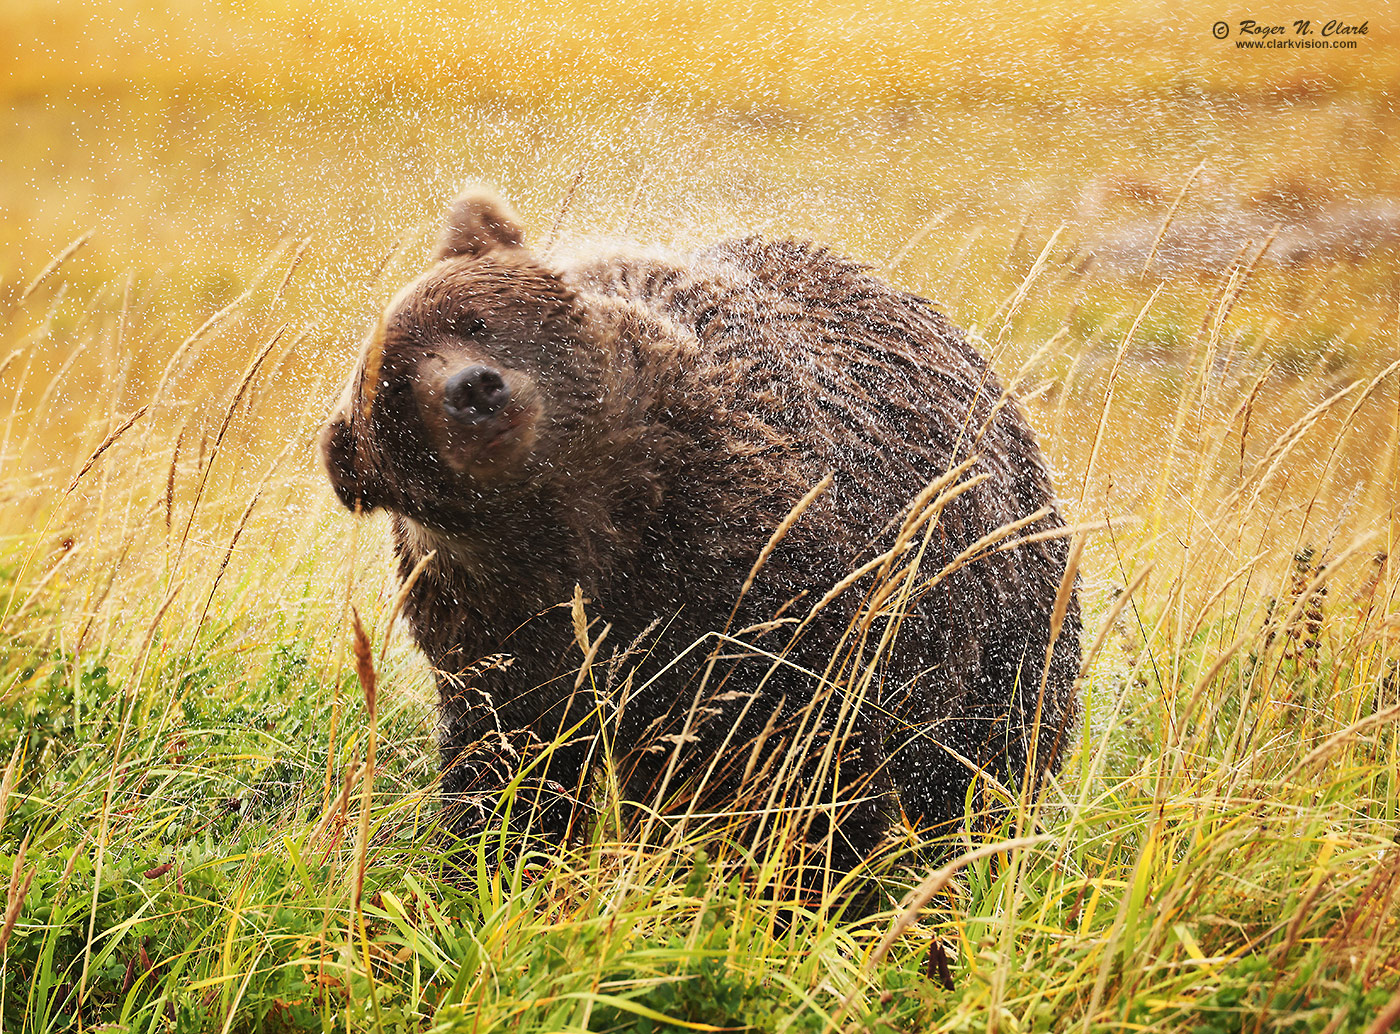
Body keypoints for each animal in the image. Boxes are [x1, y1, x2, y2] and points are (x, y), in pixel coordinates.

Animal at [320, 187, 1080, 889]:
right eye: (396, 392)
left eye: (474, 319)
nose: (473, 390)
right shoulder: (499, 634)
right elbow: (507, 770)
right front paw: (489, 867)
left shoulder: (772, 577)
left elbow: (810, 757)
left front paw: (803, 881)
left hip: (1002, 611)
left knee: (986, 759)